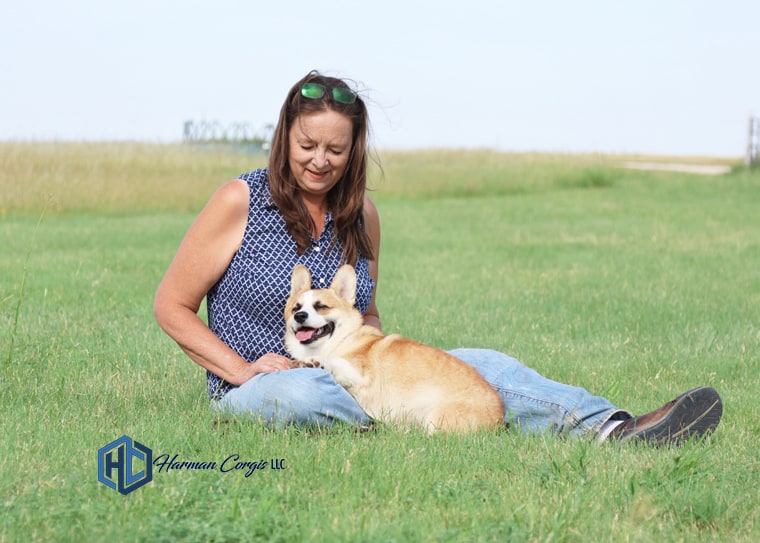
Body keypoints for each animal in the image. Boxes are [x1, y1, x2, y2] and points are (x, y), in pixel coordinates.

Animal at [284, 264, 504, 434]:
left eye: (321, 306)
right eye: (296, 308)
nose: (300, 316)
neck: (337, 341)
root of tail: (499, 420)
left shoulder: (357, 374)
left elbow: (334, 362)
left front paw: (317, 362)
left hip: (436, 420)